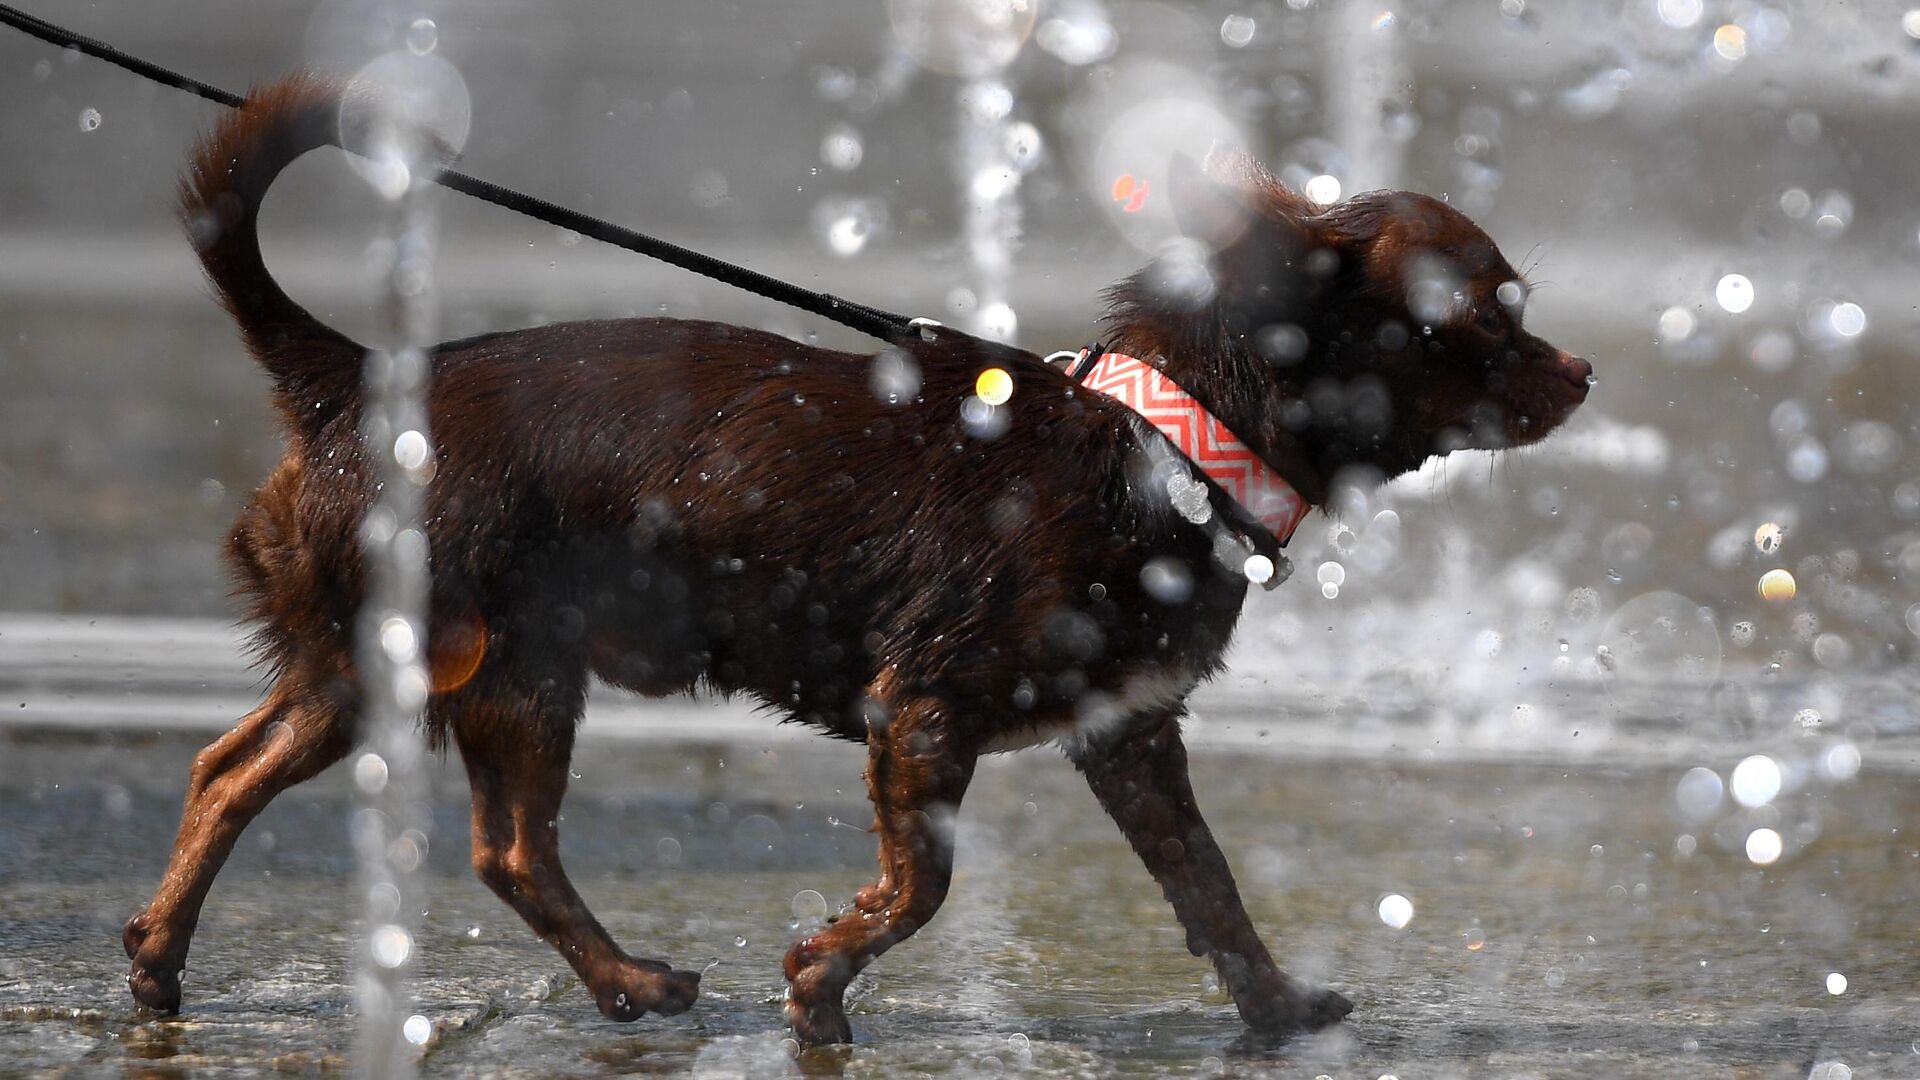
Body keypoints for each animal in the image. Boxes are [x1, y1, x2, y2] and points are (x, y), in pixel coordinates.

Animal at [123, 73, 1589, 1037]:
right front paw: (823, 980)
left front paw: (1278, 1009)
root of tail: (346, 378)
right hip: (449, 660)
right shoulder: (923, 712)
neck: (1167, 440)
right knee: (402, 818)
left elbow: (1209, 886)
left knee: (308, 790)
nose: (1582, 371)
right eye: (1493, 313)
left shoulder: (1126, 732)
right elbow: (924, 882)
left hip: (446, 670)